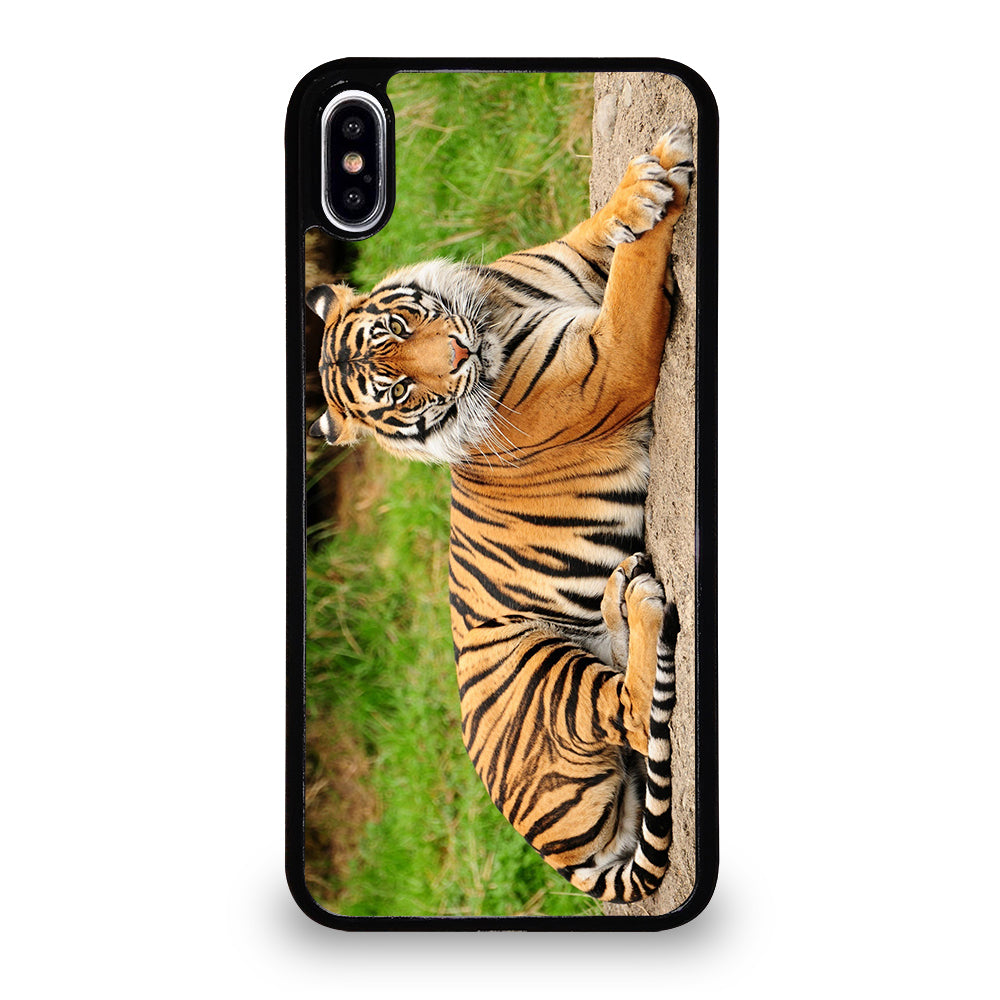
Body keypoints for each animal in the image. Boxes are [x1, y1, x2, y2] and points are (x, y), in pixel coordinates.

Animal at [306, 123, 694, 903]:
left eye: (398, 325)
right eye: (396, 390)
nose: (459, 355)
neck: (495, 309)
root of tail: (560, 856)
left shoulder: (568, 263)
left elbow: (603, 230)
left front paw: (644, 183)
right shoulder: (611, 360)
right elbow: (635, 274)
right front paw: (659, 185)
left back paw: (621, 593)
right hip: (540, 669)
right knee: (636, 713)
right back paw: (640, 604)